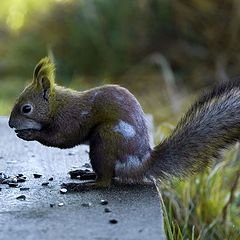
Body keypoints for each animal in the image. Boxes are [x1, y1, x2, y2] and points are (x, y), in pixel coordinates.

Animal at [8, 57, 240, 190]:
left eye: (26, 108)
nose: (10, 124)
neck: (57, 105)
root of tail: (140, 163)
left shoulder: (72, 119)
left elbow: (62, 138)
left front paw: (30, 134)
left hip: (104, 141)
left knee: (106, 181)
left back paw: (87, 185)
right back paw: (86, 174)